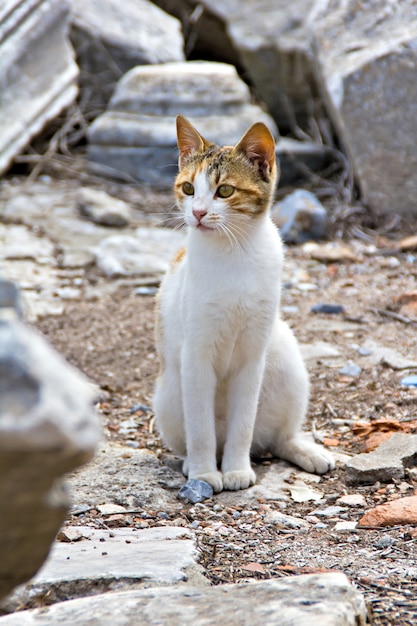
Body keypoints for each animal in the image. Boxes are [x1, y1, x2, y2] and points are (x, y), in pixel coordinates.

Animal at [154, 114, 334, 490]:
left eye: (224, 191)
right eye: (188, 189)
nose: (198, 213)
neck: (232, 252)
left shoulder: (253, 356)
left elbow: (244, 424)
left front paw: (236, 469)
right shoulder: (195, 356)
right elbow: (200, 428)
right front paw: (206, 473)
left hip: (287, 361)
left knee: (275, 438)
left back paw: (303, 451)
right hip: (168, 393)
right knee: (197, 435)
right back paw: (193, 464)